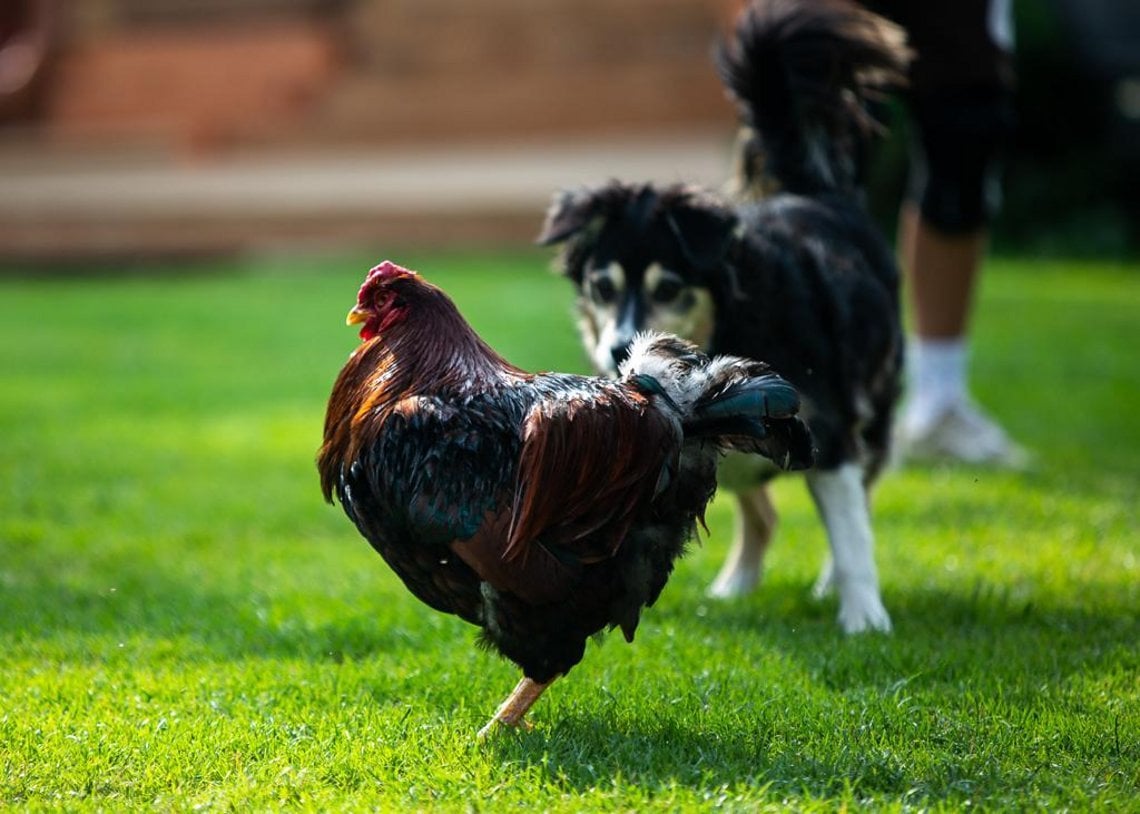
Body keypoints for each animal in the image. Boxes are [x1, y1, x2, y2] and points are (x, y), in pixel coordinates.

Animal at [540, 0, 907, 629]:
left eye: (670, 288)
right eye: (601, 286)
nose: (618, 349)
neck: (727, 325)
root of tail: (819, 195)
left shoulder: (831, 427)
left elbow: (851, 528)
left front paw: (863, 616)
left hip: (872, 403)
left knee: (855, 493)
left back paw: (830, 584)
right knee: (760, 508)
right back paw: (736, 585)